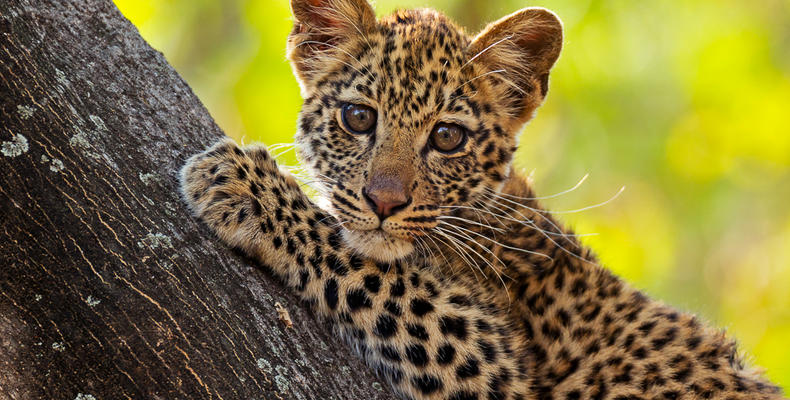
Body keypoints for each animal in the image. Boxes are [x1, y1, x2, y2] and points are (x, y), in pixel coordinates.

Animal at [178, 0, 785, 399]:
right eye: (358, 118)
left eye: (448, 137)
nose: (383, 202)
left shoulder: (493, 362)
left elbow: (372, 268)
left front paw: (241, 184)